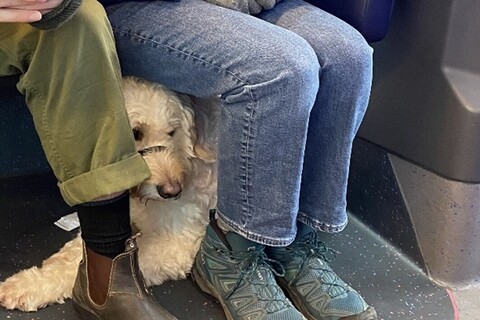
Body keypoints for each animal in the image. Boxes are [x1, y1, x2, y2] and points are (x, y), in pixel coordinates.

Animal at [0, 76, 219, 312]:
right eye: (136, 133)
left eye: (172, 132)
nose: (172, 191)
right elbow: (76, 252)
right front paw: (33, 281)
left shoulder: (175, 243)